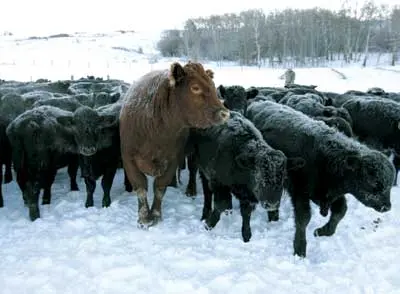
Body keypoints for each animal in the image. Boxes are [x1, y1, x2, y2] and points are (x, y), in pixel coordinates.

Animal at [120, 61, 230, 227]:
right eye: (195, 87)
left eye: (212, 85)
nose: (224, 113)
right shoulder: (128, 158)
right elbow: (140, 187)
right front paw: (144, 218)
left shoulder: (173, 158)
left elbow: (160, 187)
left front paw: (156, 214)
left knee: (192, 169)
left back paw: (190, 189)